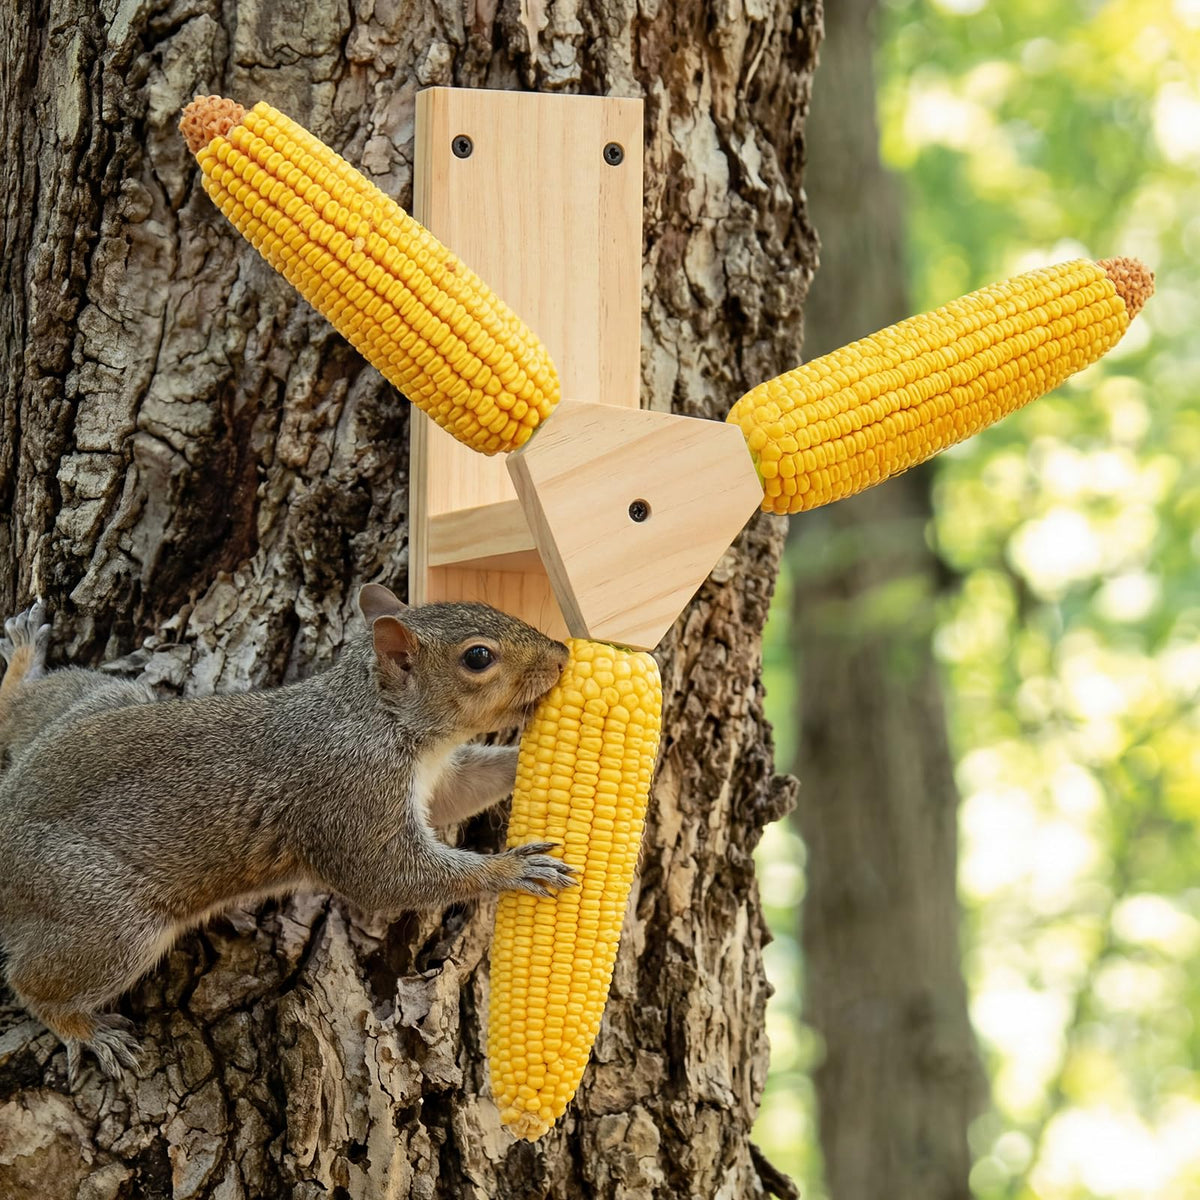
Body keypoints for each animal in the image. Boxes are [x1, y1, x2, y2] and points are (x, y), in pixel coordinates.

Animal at [0, 585, 575, 1085]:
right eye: (478, 657)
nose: (563, 655)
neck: (377, 715)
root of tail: (9, 806)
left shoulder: (435, 779)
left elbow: (464, 787)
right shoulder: (349, 792)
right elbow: (387, 877)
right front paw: (513, 868)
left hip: (99, 700)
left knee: (22, 710)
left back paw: (24, 659)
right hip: (106, 918)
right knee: (31, 984)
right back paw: (82, 1030)